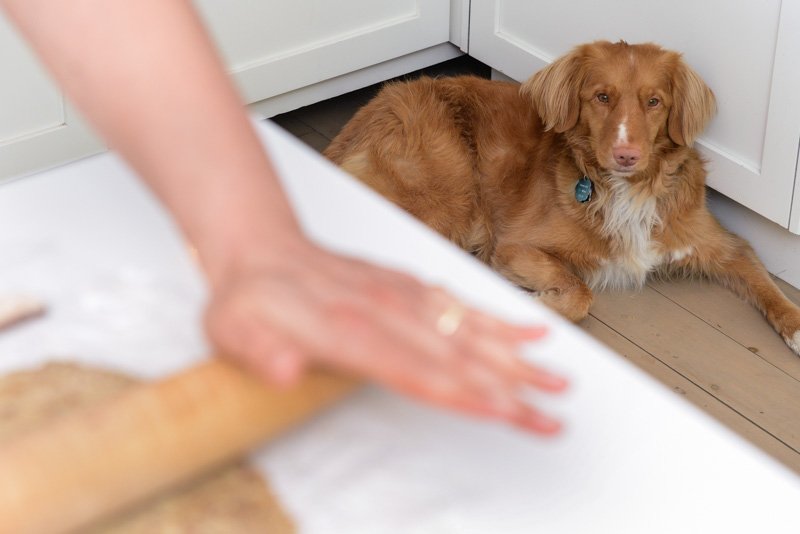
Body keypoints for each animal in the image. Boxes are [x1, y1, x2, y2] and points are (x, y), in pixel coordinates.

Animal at [324, 39, 800, 354]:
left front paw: (796, 329)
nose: (626, 155)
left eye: (654, 102)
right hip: (448, 194)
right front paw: (534, 302)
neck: (628, 190)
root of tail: (365, 116)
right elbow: (579, 294)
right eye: (602, 97)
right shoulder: (514, 246)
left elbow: (765, 283)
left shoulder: (724, 244)